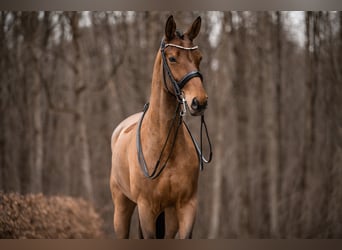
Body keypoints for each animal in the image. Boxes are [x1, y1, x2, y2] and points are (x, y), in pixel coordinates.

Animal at [109, 15, 211, 238]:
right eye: (172, 58)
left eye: (199, 57)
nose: (199, 102)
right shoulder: (147, 209)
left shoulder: (186, 206)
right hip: (122, 207)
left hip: (170, 215)